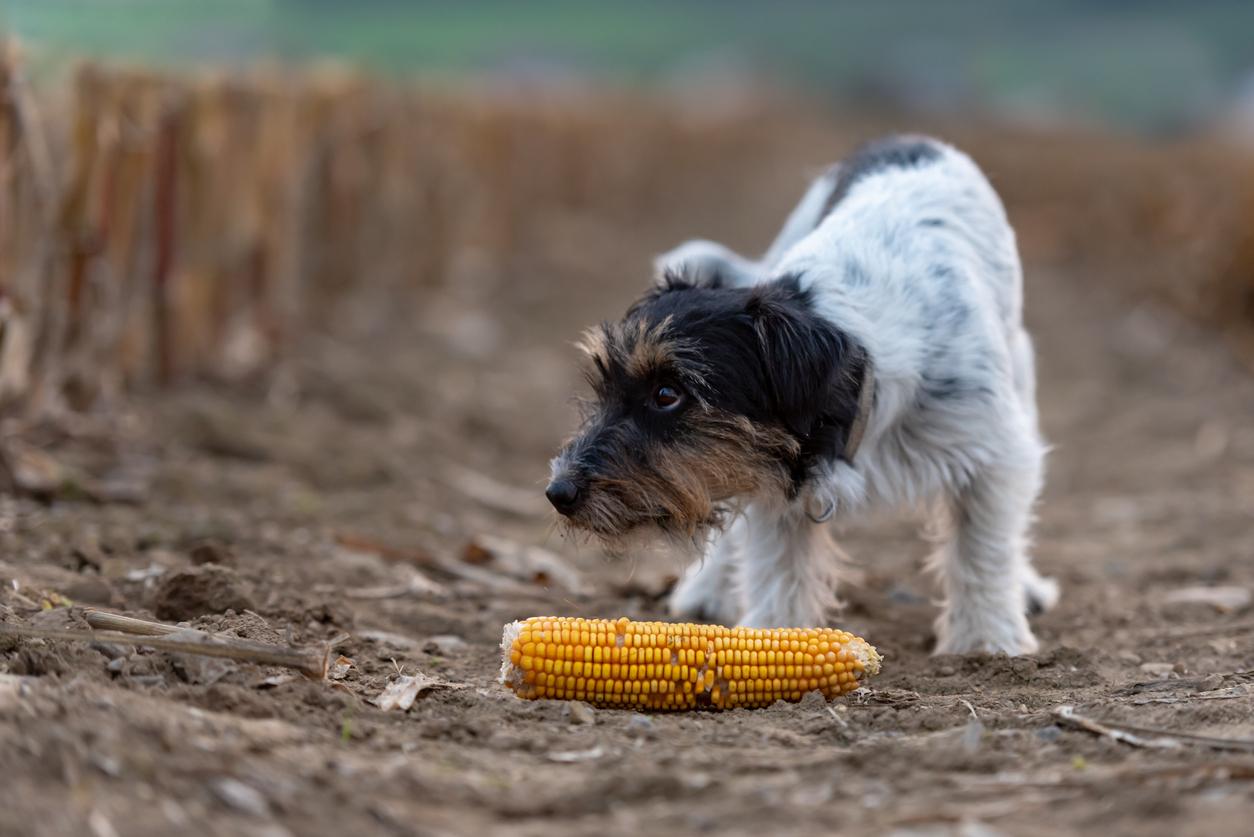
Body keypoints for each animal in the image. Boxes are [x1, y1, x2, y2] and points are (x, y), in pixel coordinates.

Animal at [544, 134, 1053, 652]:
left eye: (668, 394)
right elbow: (777, 572)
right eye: (605, 388)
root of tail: (914, 139)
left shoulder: (994, 456)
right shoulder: (772, 479)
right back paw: (705, 593)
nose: (557, 492)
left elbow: (983, 551)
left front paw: (988, 641)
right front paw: (771, 642)